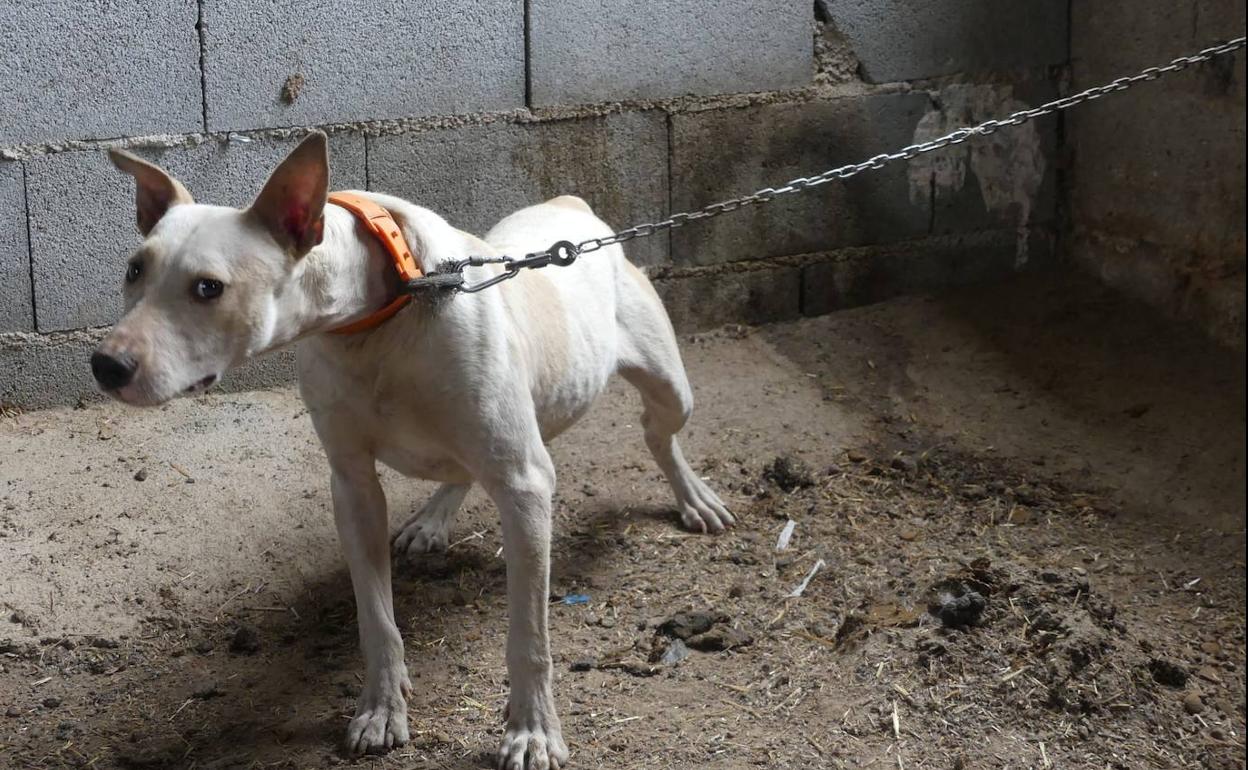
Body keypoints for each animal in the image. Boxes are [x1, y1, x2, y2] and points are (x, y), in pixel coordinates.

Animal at [94, 132, 728, 768]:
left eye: (209, 287)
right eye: (133, 270)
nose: (105, 365)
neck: (376, 322)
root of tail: (572, 208)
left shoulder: (523, 485)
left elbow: (529, 636)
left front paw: (533, 731)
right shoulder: (353, 486)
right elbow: (376, 619)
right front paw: (381, 709)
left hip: (670, 390)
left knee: (658, 434)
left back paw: (695, 499)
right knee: (467, 466)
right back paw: (432, 520)